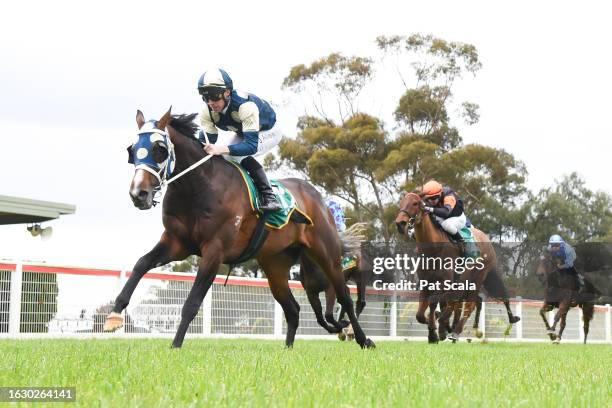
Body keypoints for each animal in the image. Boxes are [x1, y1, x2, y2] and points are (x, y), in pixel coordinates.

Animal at [103, 110, 376, 350]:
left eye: (159, 149)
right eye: (131, 151)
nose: (138, 194)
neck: (199, 186)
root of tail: (316, 196)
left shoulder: (214, 251)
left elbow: (192, 303)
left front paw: (175, 346)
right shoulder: (176, 243)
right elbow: (141, 263)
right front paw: (114, 315)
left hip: (326, 253)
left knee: (345, 298)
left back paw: (363, 339)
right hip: (275, 265)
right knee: (293, 309)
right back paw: (288, 350)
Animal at [394, 190, 520, 342]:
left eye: (415, 203)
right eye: (401, 203)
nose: (400, 223)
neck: (433, 248)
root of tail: (487, 240)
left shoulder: (445, 283)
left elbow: (434, 302)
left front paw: (435, 332)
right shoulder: (426, 282)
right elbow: (421, 313)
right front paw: (435, 328)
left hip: (478, 278)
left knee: (470, 304)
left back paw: (456, 330)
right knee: (466, 302)